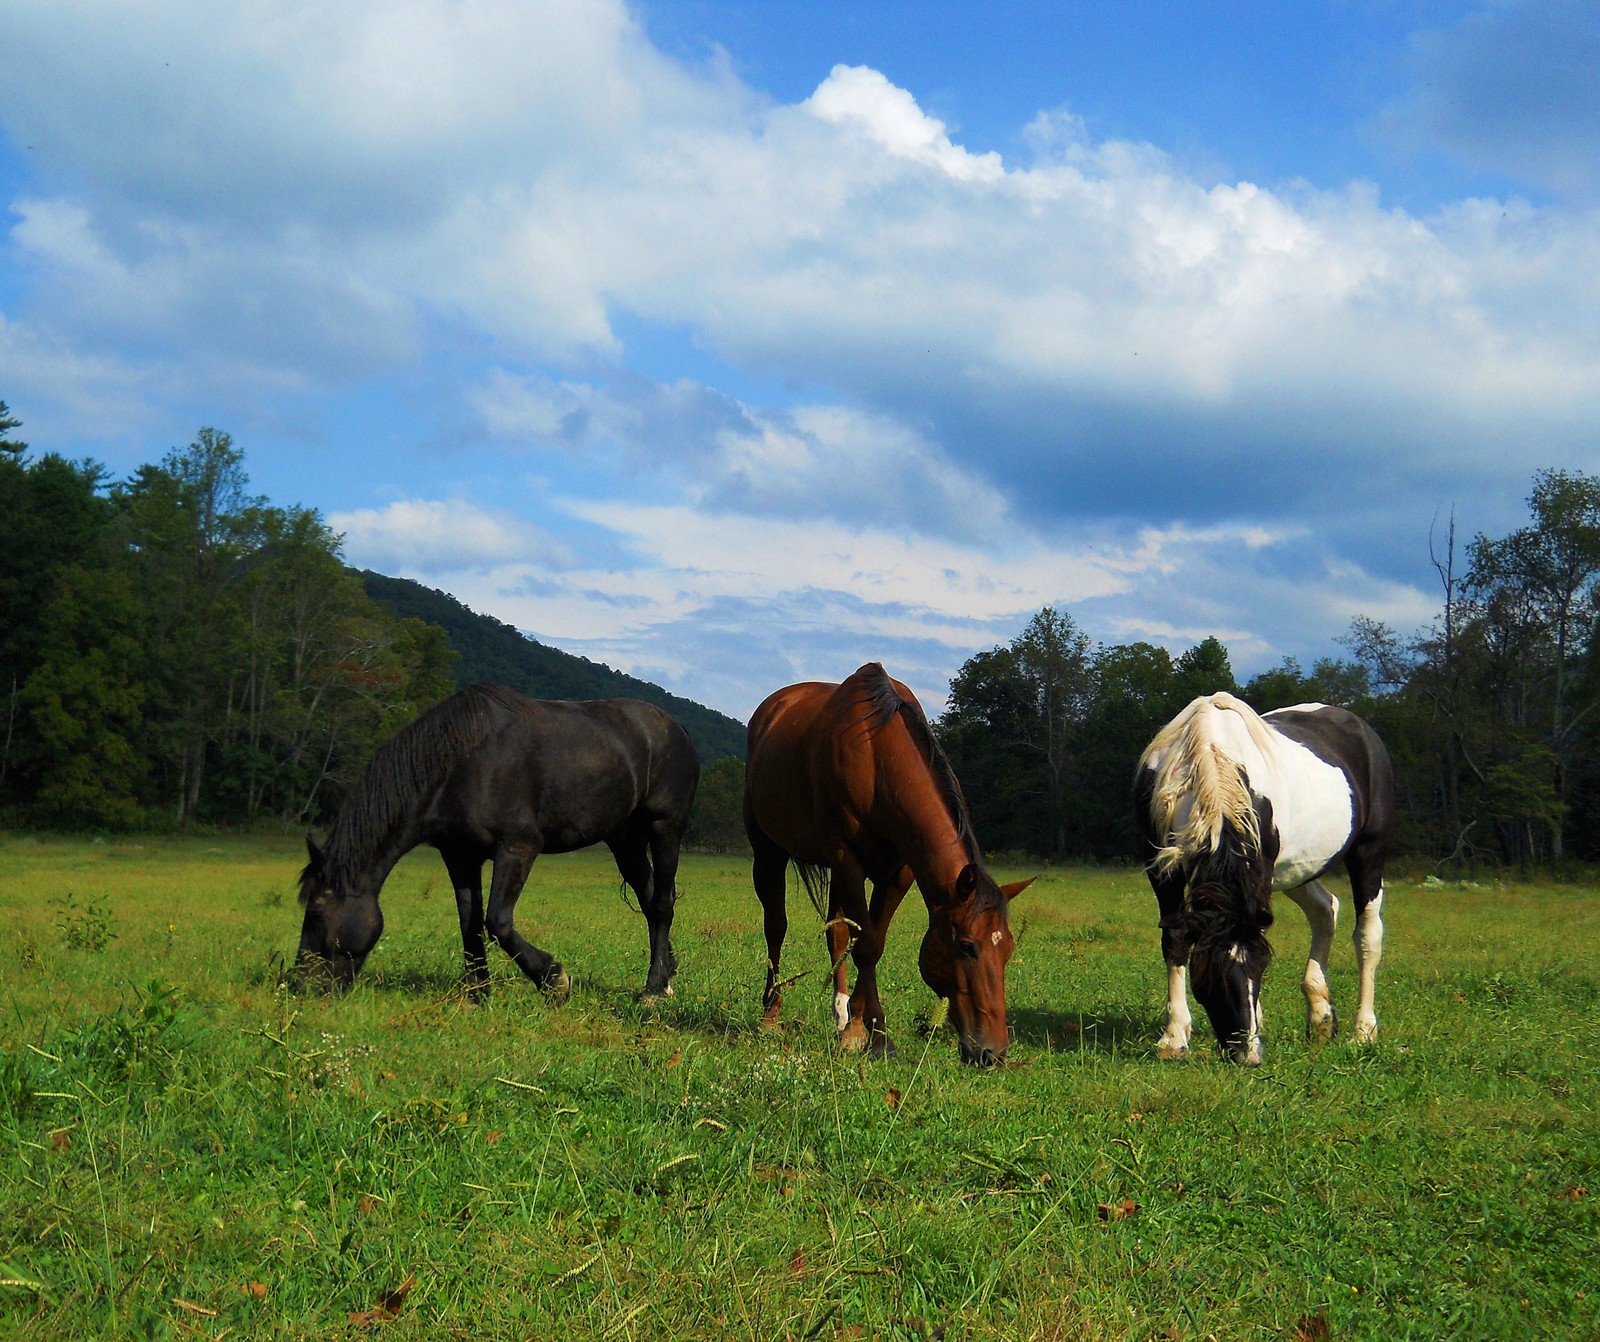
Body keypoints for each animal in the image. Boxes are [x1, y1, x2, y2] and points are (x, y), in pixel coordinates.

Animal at [294, 687, 700, 1004]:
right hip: (624, 839)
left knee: (661, 904)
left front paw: (553, 979)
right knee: (650, 898)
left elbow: (497, 922)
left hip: (665, 828)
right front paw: (478, 993)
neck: (460, 763)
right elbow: (470, 922)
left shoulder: (518, 848)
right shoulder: (460, 856)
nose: (299, 987)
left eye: (316, 915)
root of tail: (677, 729)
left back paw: (652, 988)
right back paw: (666, 973)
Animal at [742, 665, 1030, 1068]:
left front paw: (856, 1027)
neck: (877, 759)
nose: (993, 1052)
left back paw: (840, 1014)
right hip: (768, 850)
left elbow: (871, 940)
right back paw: (771, 1015)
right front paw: (876, 1038)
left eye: (1008, 949)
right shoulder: (847, 861)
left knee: (836, 933)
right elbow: (866, 947)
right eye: (966, 947)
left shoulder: (898, 873)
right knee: (776, 926)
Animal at [1126, 697, 1401, 1068]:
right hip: (1297, 870)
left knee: (1367, 937)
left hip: (1367, 854)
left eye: (1261, 968)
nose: (1248, 1055)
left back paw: (1364, 1031)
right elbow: (1175, 941)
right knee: (1325, 910)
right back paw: (1321, 1019)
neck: (1210, 759)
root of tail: (1362, 729)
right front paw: (1174, 1039)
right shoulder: (1160, 868)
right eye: (1209, 975)